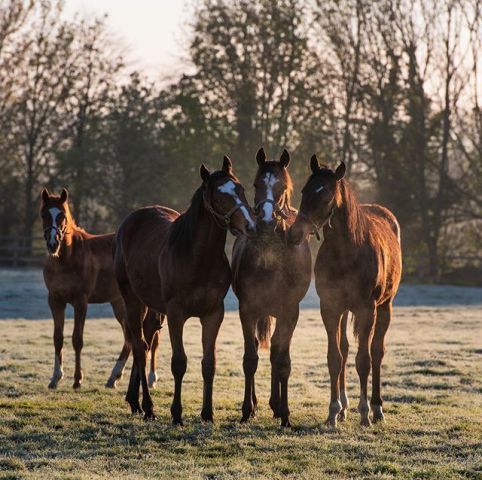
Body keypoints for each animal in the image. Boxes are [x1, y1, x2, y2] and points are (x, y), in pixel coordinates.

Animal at [40, 188, 163, 390]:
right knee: (130, 338)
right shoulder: (55, 300)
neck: (67, 257)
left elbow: (77, 339)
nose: (53, 244)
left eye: (62, 216)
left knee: (149, 338)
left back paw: (150, 377)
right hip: (119, 303)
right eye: (44, 215)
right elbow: (57, 338)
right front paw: (55, 377)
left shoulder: (80, 301)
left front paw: (77, 379)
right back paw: (114, 377)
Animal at [114, 156, 256, 422]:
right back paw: (148, 407)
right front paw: (177, 414)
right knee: (139, 347)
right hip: (133, 300)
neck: (197, 257)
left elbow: (209, 363)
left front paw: (207, 414)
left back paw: (134, 401)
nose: (251, 226)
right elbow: (179, 362)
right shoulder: (176, 313)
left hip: (152, 305)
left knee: (146, 340)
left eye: (241, 189)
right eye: (219, 197)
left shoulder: (213, 313)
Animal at [231, 148, 312, 426]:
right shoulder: (248, 310)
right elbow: (250, 359)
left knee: (276, 351)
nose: (266, 222)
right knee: (260, 347)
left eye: (282, 187)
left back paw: (276, 405)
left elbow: (283, 361)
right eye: (256, 185)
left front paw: (285, 413)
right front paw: (247, 410)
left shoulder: (290, 312)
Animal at [286, 156, 402, 426]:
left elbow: (364, 360)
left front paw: (365, 413)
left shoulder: (367, 309)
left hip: (385, 306)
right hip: (344, 310)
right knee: (346, 348)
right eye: (305, 191)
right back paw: (344, 408)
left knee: (377, 352)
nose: (295, 233)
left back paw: (377, 408)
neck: (348, 250)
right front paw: (333, 411)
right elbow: (335, 358)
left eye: (326, 195)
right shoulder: (330, 307)